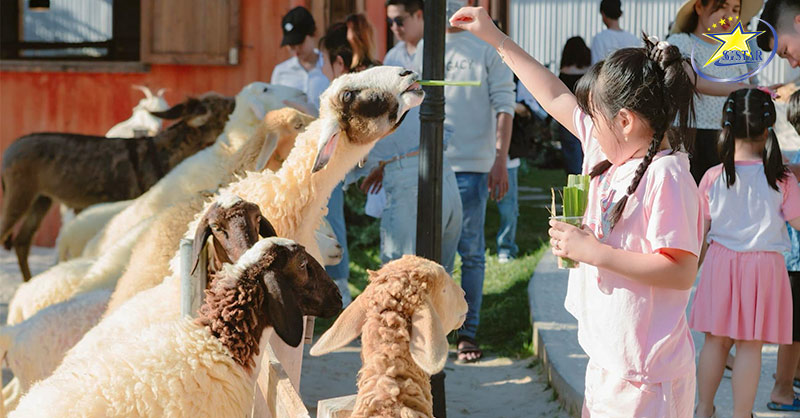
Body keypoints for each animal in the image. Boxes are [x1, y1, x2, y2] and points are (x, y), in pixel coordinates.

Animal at [0, 93, 234, 280]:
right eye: (222, 105)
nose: (233, 98)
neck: (164, 153)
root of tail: (11, 147)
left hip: (41, 199)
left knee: (22, 241)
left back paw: (27, 282)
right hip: (19, 192)